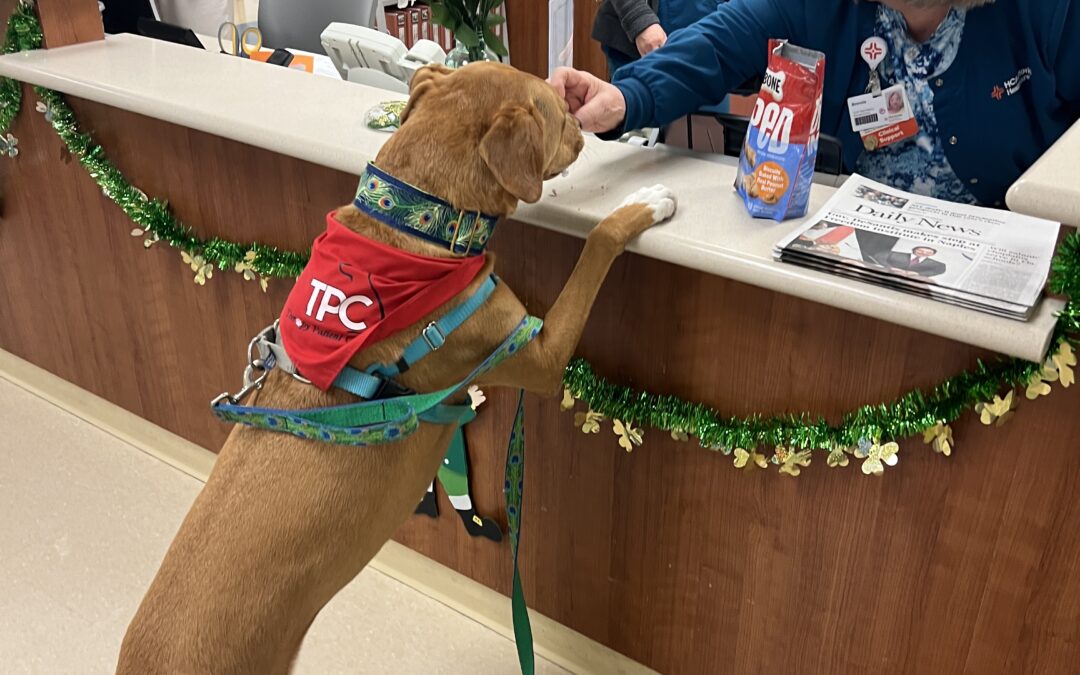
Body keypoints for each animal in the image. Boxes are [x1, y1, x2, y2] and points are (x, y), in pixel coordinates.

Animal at [118, 60, 673, 669]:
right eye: (555, 109)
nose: (584, 130)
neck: (416, 223)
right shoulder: (539, 353)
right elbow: (596, 245)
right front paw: (646, 203)